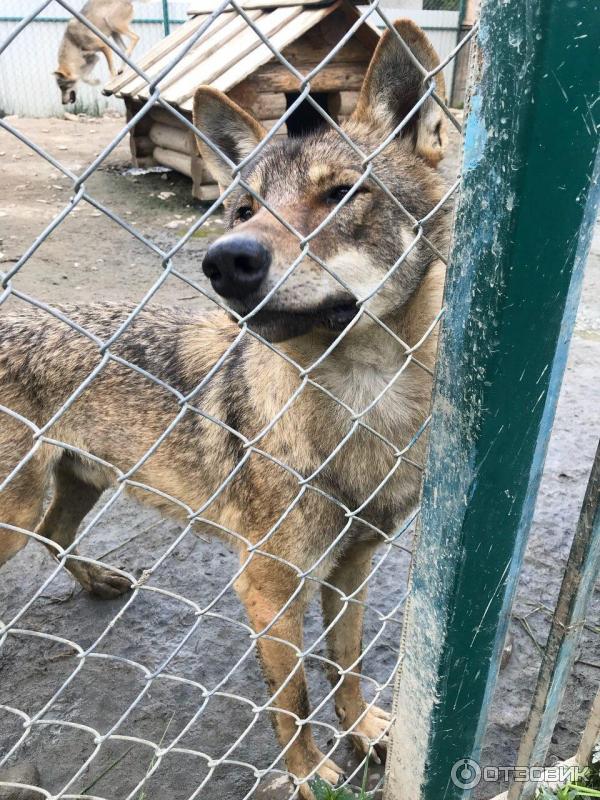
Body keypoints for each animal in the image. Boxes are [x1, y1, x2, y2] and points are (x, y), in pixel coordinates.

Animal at [0, 3, 464, 796]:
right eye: (243, 209)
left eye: (342, 193)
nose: (225, 262)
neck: (362, 406)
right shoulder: (268, 590)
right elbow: (294, 701)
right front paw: (313, 776)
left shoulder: (352, 572)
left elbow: (346, 667)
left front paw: (368, 732)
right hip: (18, 509)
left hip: (76, 486)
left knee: (58, 536)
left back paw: (98, 580)